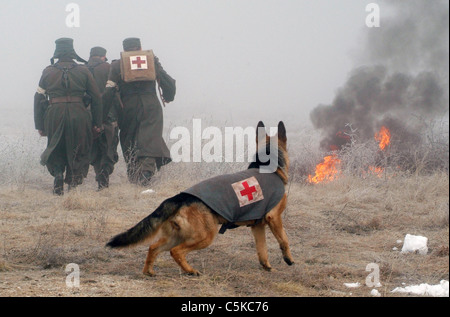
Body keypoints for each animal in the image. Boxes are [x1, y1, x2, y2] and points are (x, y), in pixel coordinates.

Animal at [107, 121, 294, 274]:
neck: (269, 166)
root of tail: (179, 198)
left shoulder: (257, 226)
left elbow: (262, 250)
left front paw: (267, 267)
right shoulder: (274, 218)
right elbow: (284, 240)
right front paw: (289, 260)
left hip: (176, 236)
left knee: (153, 247)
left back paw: (149, 271)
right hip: (205, 236)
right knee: (176, 251)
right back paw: (190, 271)